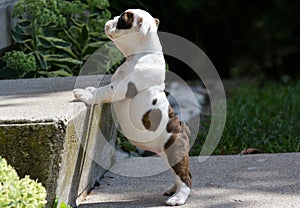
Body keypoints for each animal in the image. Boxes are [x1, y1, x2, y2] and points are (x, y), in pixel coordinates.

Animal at [73, 8, 191, 206]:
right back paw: (172, 190)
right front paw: (89, 89)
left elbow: (103, 92)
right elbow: (100, 89)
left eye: (122, 20)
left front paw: (85, 94)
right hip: (167, 154)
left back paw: (178, 198)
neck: (142, 52)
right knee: (178, 175)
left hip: (175, 151)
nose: (112, 18)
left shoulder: (121, 87)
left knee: (185, 178)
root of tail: (183, 129)